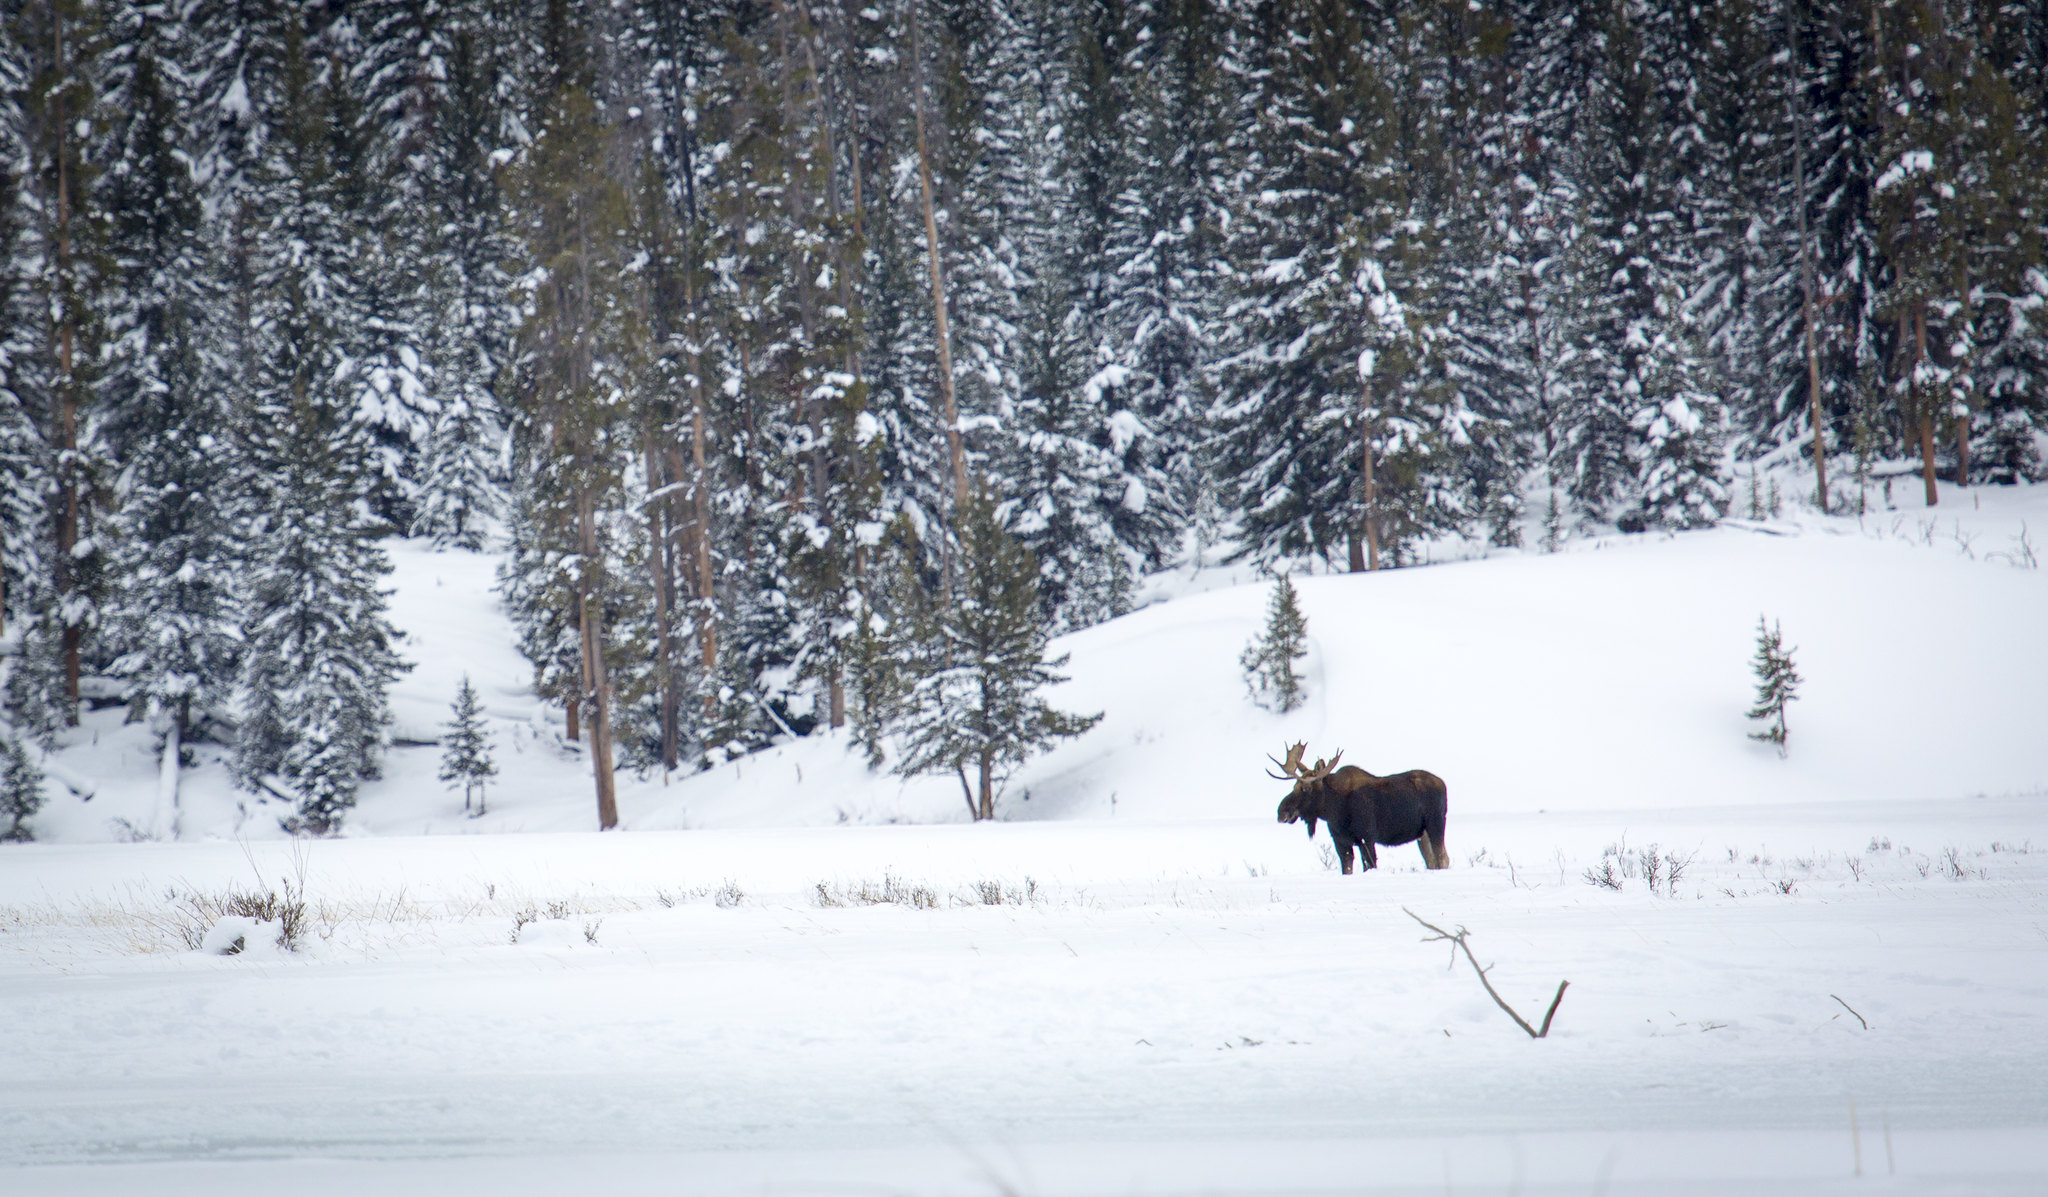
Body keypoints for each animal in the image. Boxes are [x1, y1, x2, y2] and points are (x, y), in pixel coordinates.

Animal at [1268, 741, 1449, 873]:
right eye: (1294, 786)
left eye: (1306, 788)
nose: (1281, 811)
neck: (1335, 810)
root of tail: (1443, 784)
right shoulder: (1341, 843)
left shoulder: (1367, 838)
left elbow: (1370, 866)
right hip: (1421, 834)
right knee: (1433, 861)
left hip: (1435, 824)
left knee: (1442, 858)